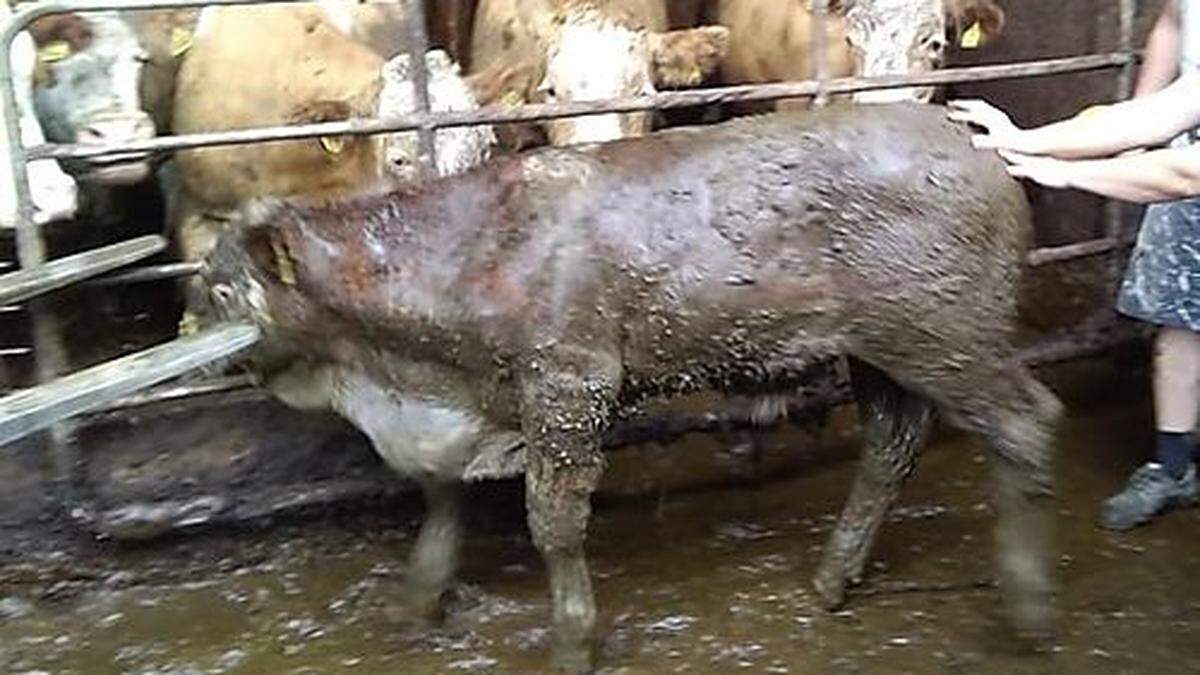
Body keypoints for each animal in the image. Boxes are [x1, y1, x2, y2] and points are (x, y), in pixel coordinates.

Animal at [201, 102, 1065, 667]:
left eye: (219, 291)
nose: (197, 346)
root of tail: (970, 144)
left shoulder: (569, 382)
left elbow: (553, 521)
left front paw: (573, 641)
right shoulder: (471, 404)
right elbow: (442, 497)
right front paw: (419, 600)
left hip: (946, 336)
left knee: (1027, 422)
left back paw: (1028, 610)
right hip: (881, 352)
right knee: (892, 444)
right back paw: (830, 581)